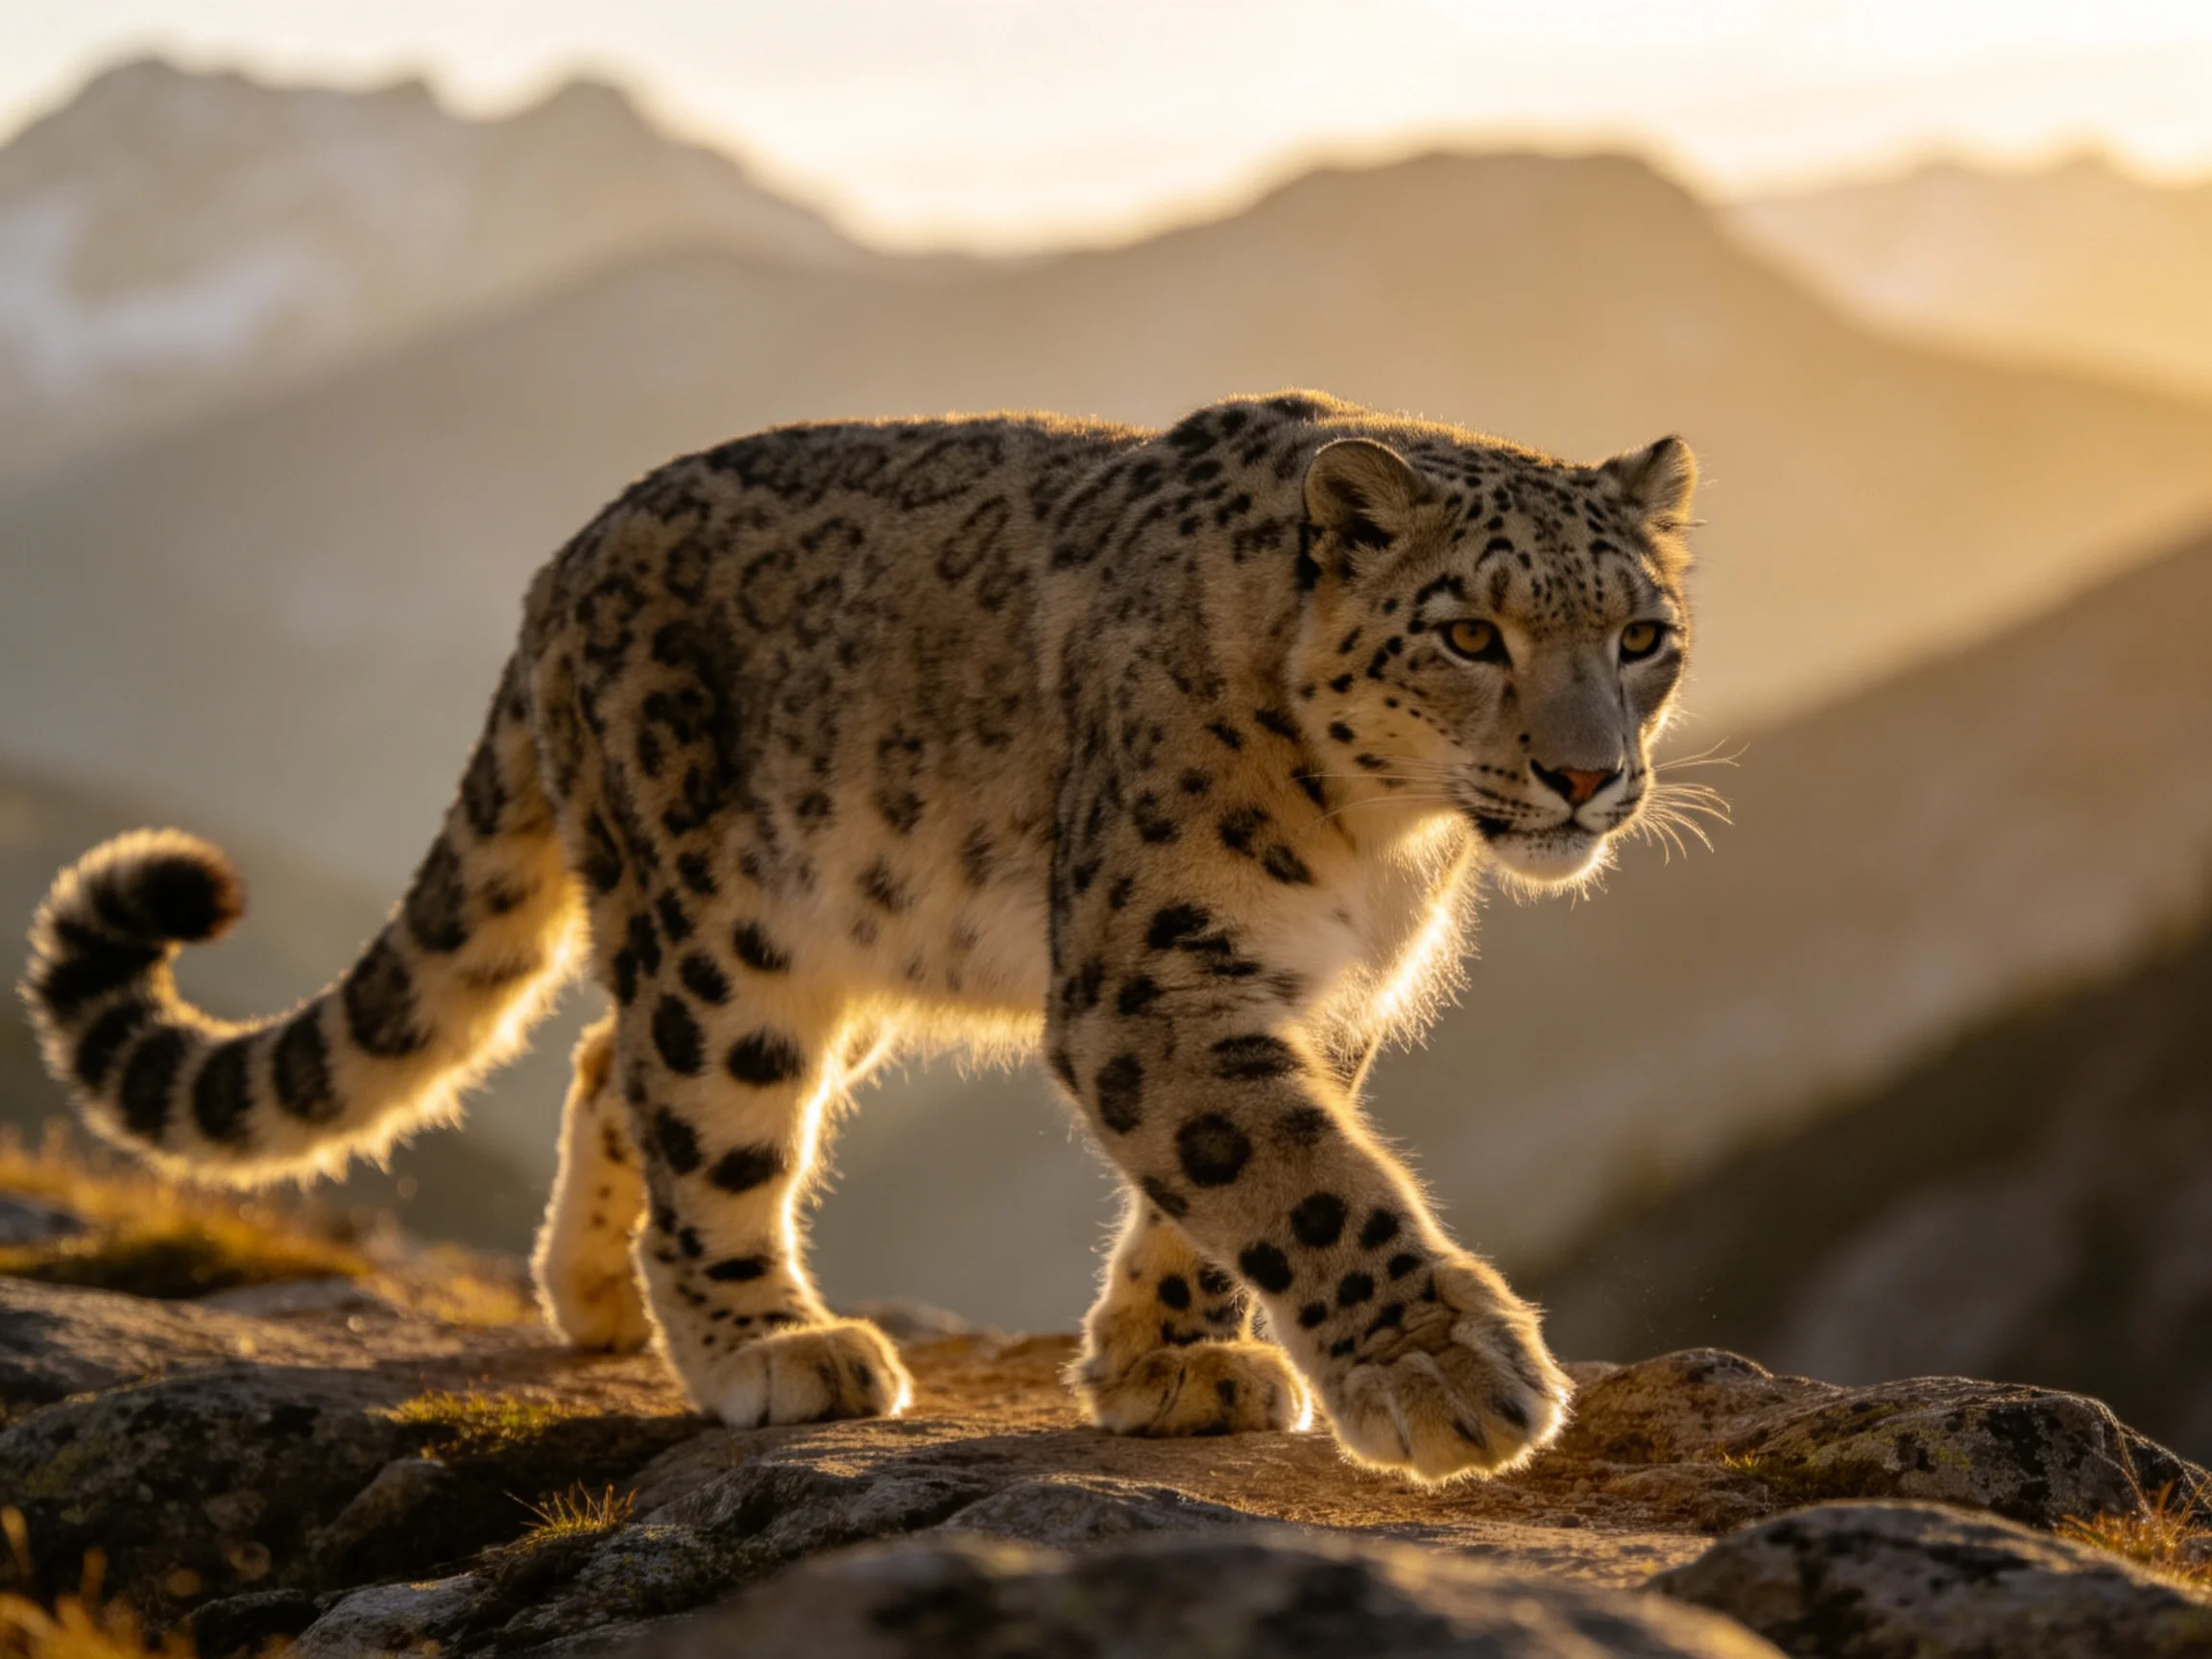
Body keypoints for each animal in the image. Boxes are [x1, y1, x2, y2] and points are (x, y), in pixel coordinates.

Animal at [22, 390, 1697, 1483]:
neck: (1384, 849)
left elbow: (1224, 1182)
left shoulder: (1307, 994)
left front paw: (1168, 1363)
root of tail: (561, 563)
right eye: (1469, 633)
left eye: (1643, 636)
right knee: (699, 1107)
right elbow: (1294, 1170)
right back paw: (763, 1340)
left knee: (606, 1055)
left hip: (858, 933)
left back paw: (600, 1297)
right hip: (734, 929)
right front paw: (1450, 1374)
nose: (1586, 775)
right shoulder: (1155, 977)